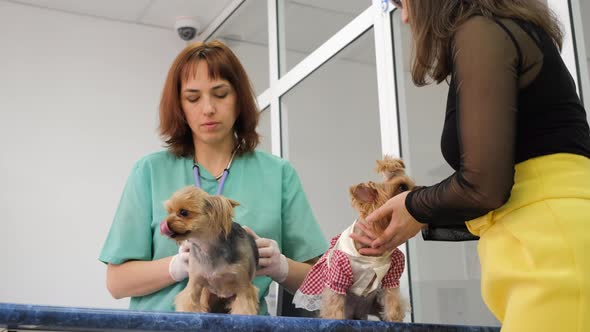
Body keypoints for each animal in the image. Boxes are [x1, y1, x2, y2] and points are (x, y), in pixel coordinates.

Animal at [294, 156, 414, 322]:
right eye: (402, 187)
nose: (420, 188)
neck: (371, 256)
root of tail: (358, 314)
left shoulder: (392, 272)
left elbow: (393, 300)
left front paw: (394, 320)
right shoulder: (338, 275)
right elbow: (334, 305)